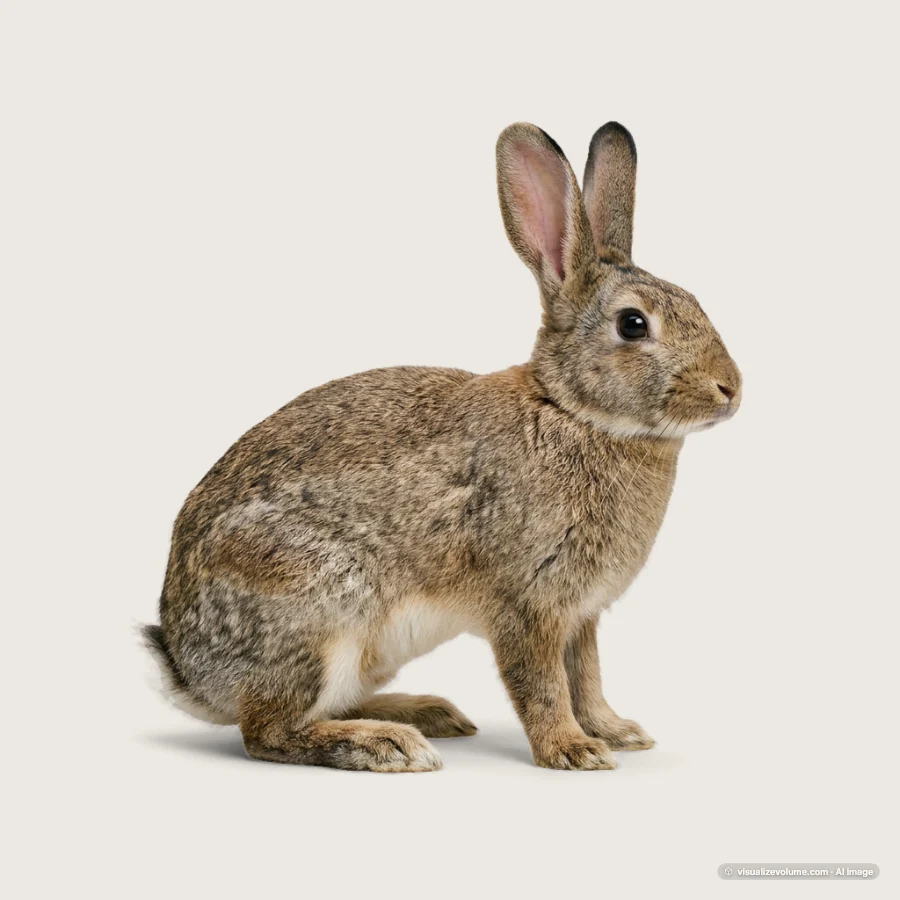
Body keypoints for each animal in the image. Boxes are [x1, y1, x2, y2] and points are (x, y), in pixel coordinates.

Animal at [144, 121, 741, 772]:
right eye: (634, 324)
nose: (731, 389)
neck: (571, 410)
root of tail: (189, 670)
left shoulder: (580, 615)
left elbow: (587, 677)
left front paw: (616, 732)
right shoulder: (527, 603)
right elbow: (542, 685)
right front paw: (572, 750)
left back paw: (425, 712)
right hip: (321, 611)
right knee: (268, 732)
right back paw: (387, 744)